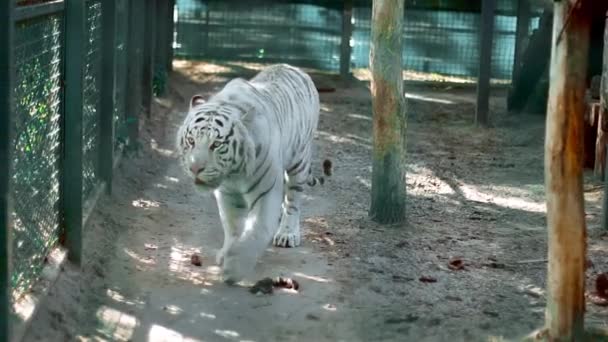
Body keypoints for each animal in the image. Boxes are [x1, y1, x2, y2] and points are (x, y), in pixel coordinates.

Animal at [176, 64, 326, 284]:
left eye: (216, 144)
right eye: (191, 141)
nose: (195, 168)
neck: (234, 172)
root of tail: (293, 67)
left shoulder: (266, 192)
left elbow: (258, 230)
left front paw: (234, 268)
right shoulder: (227, 194)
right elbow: (233, 227)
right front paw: (227, 253)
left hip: (299, 161)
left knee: (293, 201)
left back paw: (287, 233)